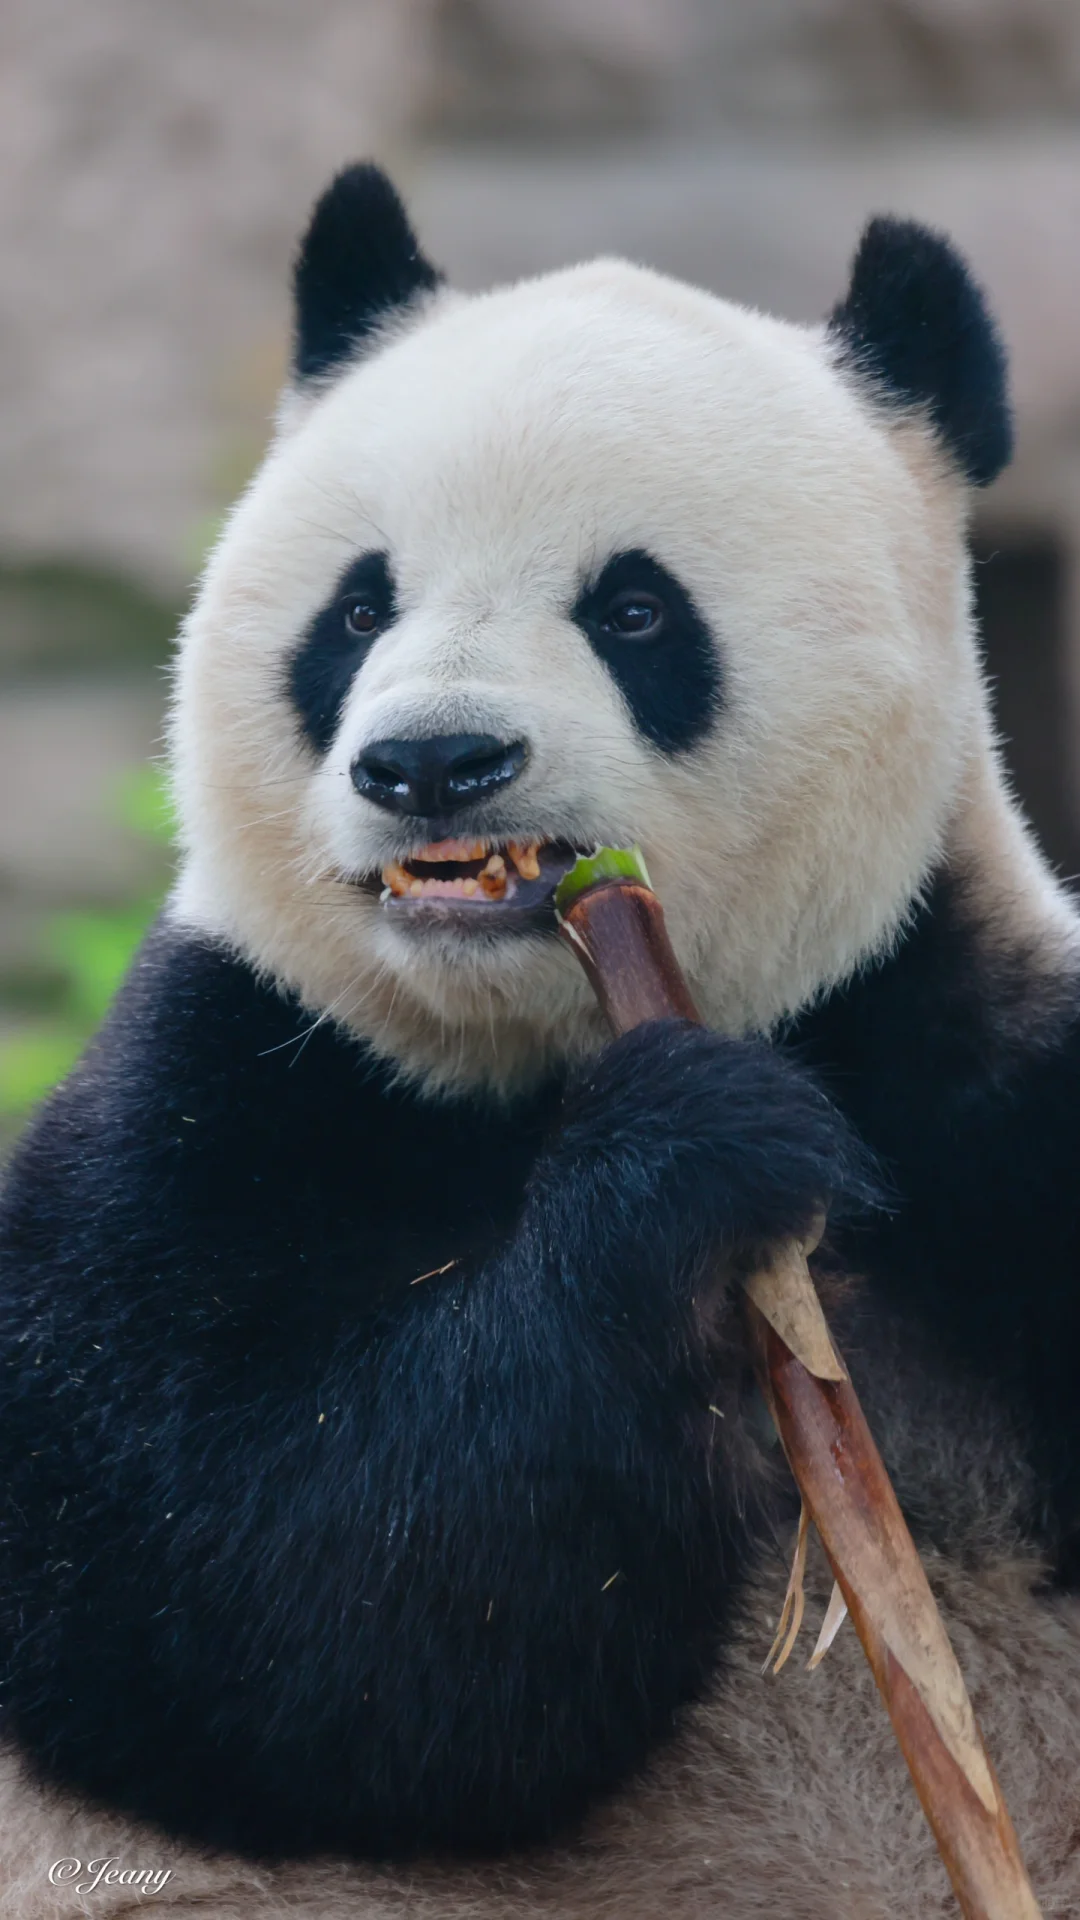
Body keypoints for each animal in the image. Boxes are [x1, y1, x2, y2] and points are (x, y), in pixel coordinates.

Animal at [2, 168, 1076, 1920]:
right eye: (357, 607)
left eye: (633, 609)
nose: (434, 763)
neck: (520, 1068)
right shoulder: (222, 1090)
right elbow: (255, 1599)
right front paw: (692, 1155)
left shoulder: (989, 1078)